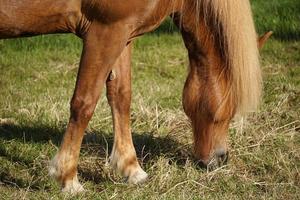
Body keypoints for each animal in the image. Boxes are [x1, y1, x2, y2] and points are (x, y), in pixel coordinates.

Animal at [0, 0, 268, 194]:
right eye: (230, 108)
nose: (220, 160)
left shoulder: (123, 33)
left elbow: (120, 96)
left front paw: (131, 169)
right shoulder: (105, 31)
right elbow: (85, 102)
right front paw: (68, 178)